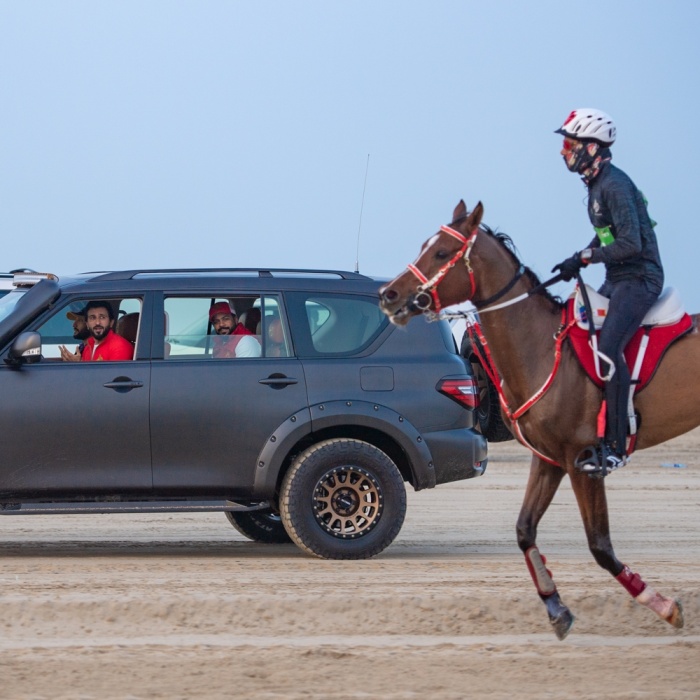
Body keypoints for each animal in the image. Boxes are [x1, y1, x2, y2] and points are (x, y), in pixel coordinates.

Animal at [382, 198, 700, 640]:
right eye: (424, 246)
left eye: (443, 252)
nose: (389, 294)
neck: (541, 348)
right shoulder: (549, 460)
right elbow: (524, 529)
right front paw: (555, 606)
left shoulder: (583, 461)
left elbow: (600, 546)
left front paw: (665, 606)